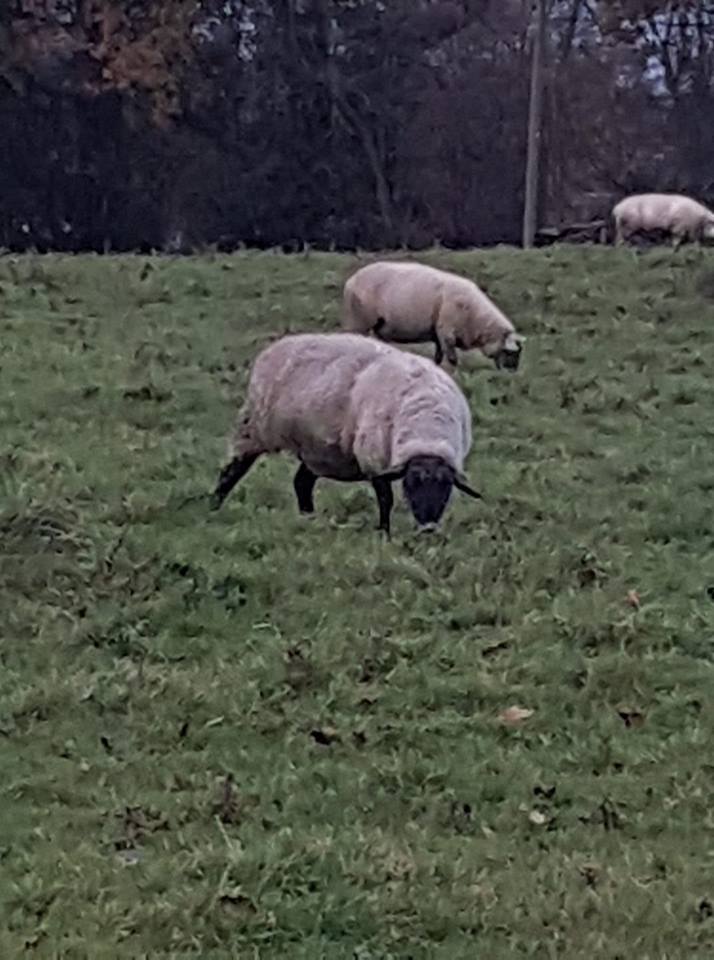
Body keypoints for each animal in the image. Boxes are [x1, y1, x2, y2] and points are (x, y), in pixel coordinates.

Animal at [211, 333, 482, 537]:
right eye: (410, 483)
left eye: (446, 487)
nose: (428, 529)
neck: (426, 421)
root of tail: (272, 349)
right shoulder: (374, 461)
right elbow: (386, 500)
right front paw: (384, 534)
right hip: (254, 429)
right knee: (232, 470)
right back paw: (213, 507)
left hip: (316, 449)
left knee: (301, 483)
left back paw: (309, 519)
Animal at [341, 260, 523, 370]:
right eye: (511, 352)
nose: (512, 371)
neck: (476, 317)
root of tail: (351, 280)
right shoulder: (447, 332)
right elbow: (452, 360)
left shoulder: (438, 336)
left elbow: (438, 357)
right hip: (359, 321)